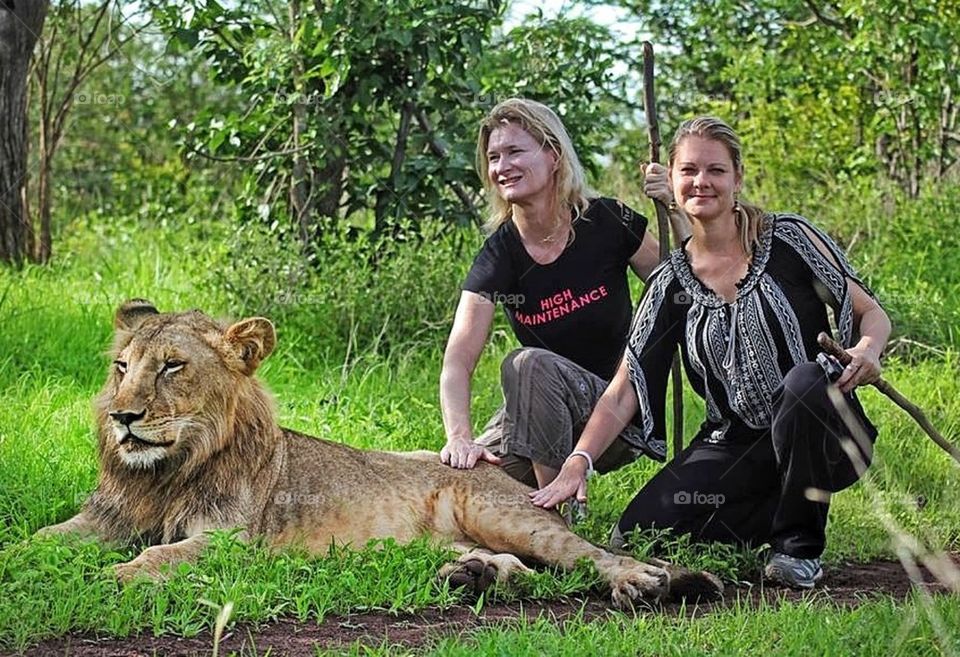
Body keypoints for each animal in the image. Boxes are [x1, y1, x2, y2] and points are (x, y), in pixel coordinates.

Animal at [37, 300, 724, 608]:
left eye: (172, 367)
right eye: (122, 368)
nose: (123, 417)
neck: (164, 474)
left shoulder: (232, 541)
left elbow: (160, 554)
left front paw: (114, 577)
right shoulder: (104, 518)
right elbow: (42, 539)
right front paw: (35, 560)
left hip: (507, 514)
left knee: (587, 558)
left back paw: (642, 581)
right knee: (530, 571)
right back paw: (473, 576)